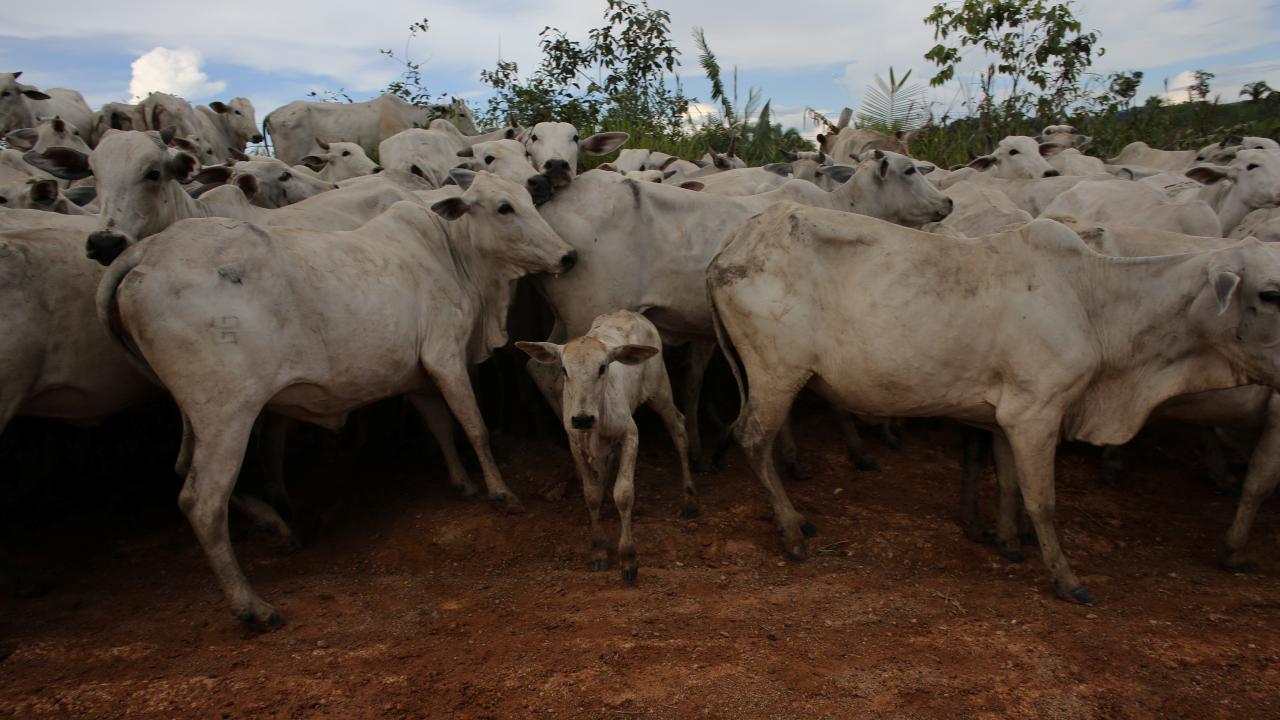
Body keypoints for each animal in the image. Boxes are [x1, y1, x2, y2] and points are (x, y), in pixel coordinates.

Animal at [97, 169, 578, 622]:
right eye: (503, 208)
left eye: (526, 196)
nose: (567, 255)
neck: (451, 251)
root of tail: (147, 252)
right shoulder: (445, 357)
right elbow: (473, 426)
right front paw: (500, 492)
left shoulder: (418, 375)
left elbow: (441, 425)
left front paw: (463, 483)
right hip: (227, 415)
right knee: (201, 500)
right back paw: (252, 605)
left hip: (193, 414)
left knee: (183, 469)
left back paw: (275, 525)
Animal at [517, 310, 701, 584]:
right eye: (564, 369)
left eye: (603, 367)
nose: (582, 419)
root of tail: (628, 312)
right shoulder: (575, 443)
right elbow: (591, 495)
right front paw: (599, 549)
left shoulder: (630, 435)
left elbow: (623, 494)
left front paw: (628, 558)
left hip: (660, 389)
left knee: (678, 429)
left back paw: (689, 499)